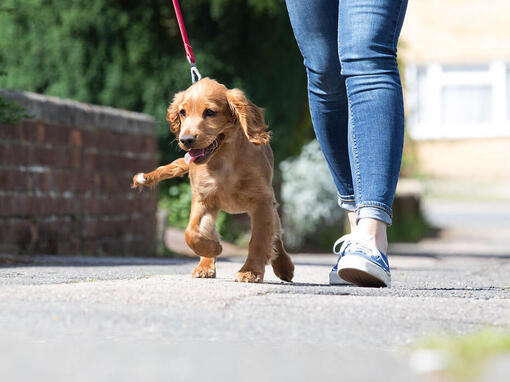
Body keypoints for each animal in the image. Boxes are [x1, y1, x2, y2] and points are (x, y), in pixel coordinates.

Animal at [132, 77, 294, 282]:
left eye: (210, 112)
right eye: (182, 112)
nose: (185, 140)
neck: (223, 160)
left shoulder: (262, 200)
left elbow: (259, 239)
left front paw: (250, 271)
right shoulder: (203, 198)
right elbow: (191, 232)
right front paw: (214, 248)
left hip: (270, 205)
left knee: (276, 235)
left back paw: (284, 266)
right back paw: (205, 265)